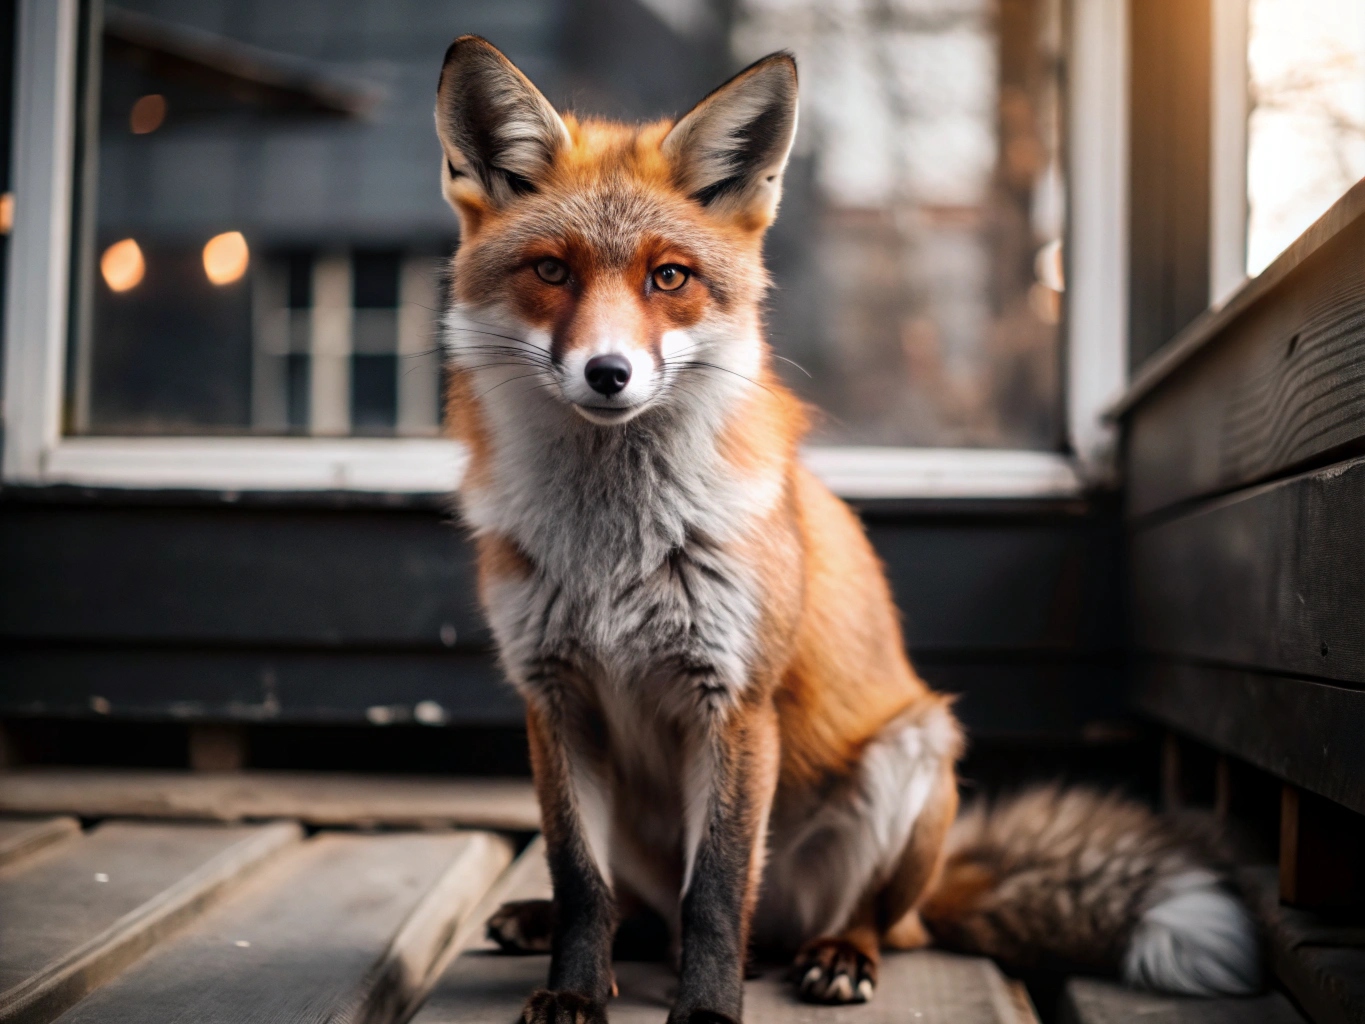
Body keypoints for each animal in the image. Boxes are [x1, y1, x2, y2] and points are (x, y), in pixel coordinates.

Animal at [432, 37, 1260, 1024]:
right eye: (550, 271)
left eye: (668, 277)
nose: (607, 373)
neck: (612, 550)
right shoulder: (554, 698)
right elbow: (577, 880)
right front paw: (572, 992)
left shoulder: (734, 700)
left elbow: (714, 891)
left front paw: (704, 1010)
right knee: (641, 909)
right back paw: (566, 928)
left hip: (915, 754)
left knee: (846, 923)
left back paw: (835, 956)